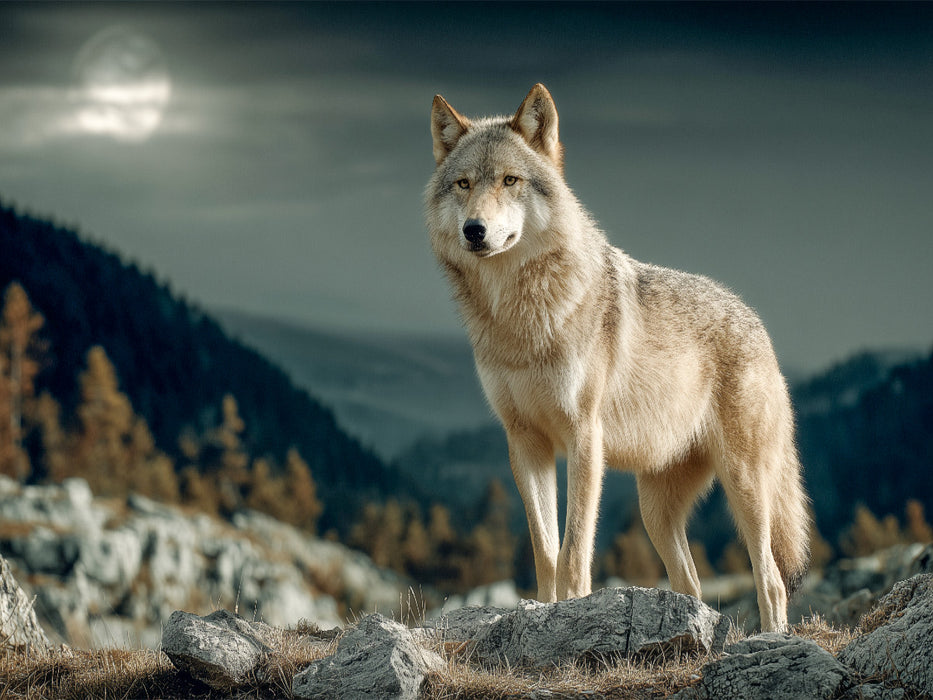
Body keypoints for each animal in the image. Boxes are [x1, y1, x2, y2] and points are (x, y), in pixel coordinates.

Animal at [424, 84, 810, 632]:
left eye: (509, 180)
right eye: (463, 184)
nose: (474, 230)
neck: (521, 320)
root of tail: (758, 324)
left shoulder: (585, 438)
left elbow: (573, 551)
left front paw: (569, 610)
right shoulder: (525, 442)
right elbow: (545, 550)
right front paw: (542, 610)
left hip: (746, 488)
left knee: (772, 580)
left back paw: (768, 639)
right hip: (655, 511)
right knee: (693, 584)